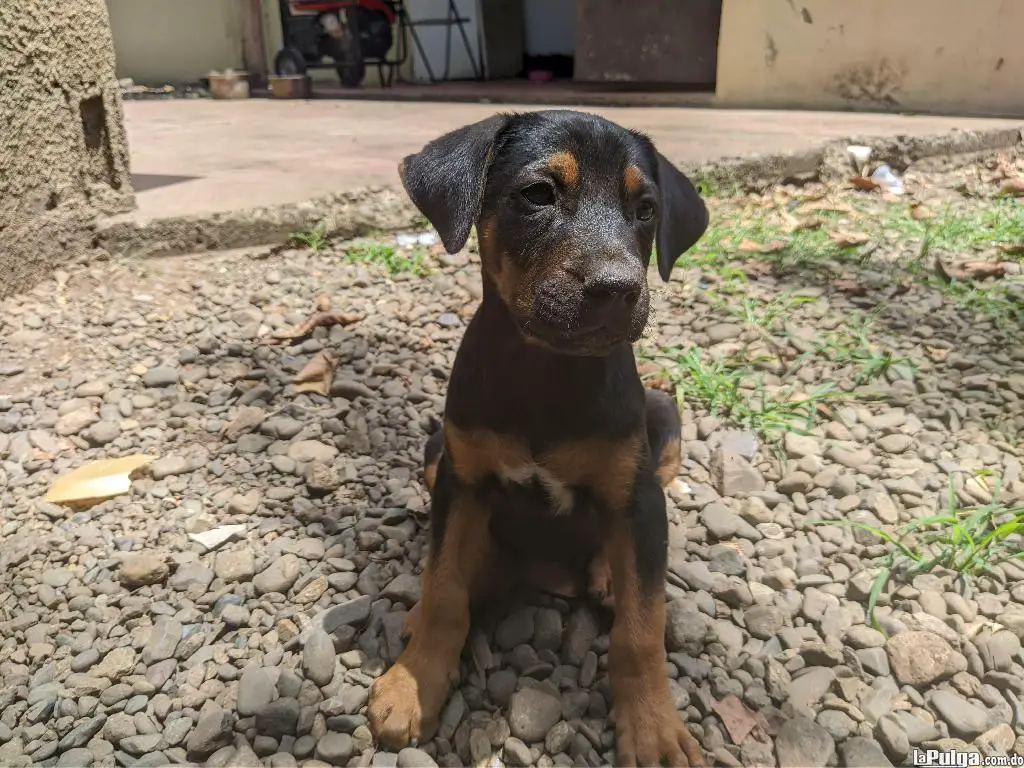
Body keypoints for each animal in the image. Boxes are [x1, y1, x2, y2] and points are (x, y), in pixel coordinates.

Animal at [368, 109, 712, 768]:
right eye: (538, 194)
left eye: (647, 209)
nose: (619, 289)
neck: (547, 370)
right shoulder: (461, 481)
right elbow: (444, 585)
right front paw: (414, 684)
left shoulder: (637, 496)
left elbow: (641, 629)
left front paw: (654, 730)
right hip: (436, 452)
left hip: (663, 420)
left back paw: (606, 575)